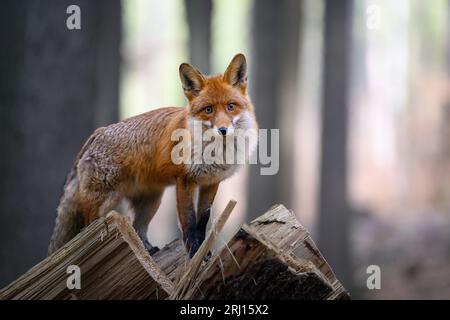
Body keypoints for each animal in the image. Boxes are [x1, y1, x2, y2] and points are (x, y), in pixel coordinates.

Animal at [47, 54, 258, 258]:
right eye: (209, 109)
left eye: (230, 106)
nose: (223, 130)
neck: (216, 152)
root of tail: (94, 134)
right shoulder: (185, 180)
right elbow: (189, 222)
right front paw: (193, 253)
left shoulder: (211, 182)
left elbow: (202, 222)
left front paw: (203, 252)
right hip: (102, 203)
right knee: (88, 229)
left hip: (150, 203)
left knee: (137, 228)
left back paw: (148, 250)